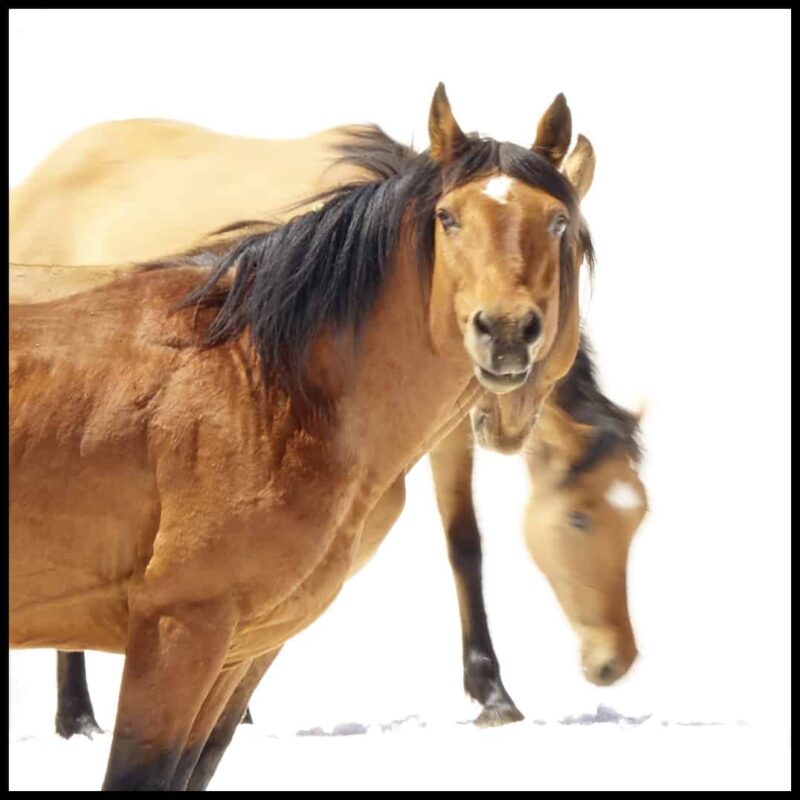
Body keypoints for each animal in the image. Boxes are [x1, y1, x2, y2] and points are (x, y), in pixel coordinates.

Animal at [10, 84, 594, 790]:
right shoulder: (178, 626)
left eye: (557, 222)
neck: (264, 382)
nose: (506, 333)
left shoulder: (241, 649)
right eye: (448, 218)